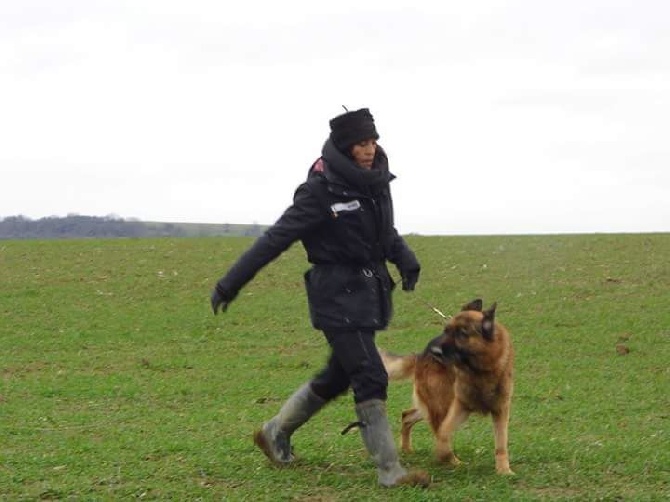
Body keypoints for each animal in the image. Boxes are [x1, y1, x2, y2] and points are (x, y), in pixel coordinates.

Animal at [380, 300, 516, 476]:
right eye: (446, 331)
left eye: (462, 334)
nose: (434, 351)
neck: (479, 369)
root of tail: (421, 355)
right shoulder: (460, 406)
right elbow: (444, 434)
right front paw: (445, 456)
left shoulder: (500, 410)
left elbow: (501, 444)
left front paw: (504, 470)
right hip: (442, 403)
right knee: (434, 427)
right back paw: (450, 460)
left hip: (435, 405)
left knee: (407, 415)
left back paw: (407, 449)